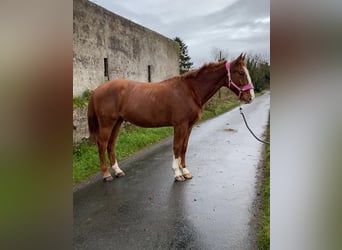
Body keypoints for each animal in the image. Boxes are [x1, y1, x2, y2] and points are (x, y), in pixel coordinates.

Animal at [88, 53, 254, 182]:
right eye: (241, 73)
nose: (250, 97)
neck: (190, 90)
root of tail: (97, 90)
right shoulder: (180, 125)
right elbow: (177, 147)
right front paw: (177, 174)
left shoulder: (189, 126)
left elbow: (184, 148)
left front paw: (185, 171)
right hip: (107, 123)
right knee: (102, 144)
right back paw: (107, 174)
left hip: (117, 122)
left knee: (111, 145)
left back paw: (118, 171)